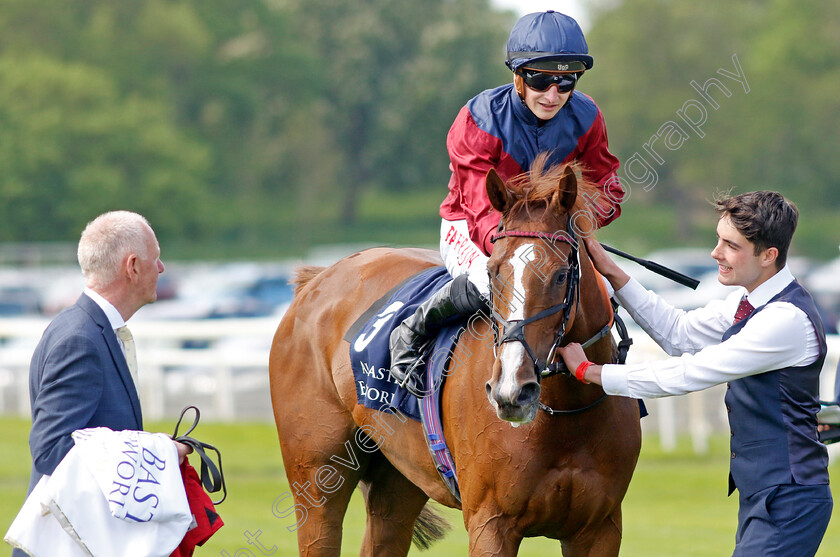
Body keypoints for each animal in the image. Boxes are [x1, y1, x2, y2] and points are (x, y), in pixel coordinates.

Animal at [272, 159, 640, 552]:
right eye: (492, 274)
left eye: (559, 275)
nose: (511, 391)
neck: (566, 414)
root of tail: (315, 279)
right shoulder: (491, 522)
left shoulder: (599, 527)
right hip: (316, 478)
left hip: (398, 479)